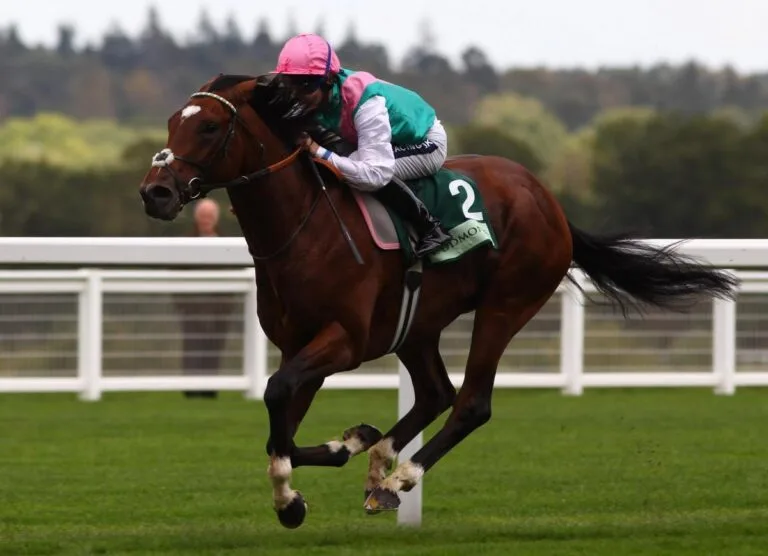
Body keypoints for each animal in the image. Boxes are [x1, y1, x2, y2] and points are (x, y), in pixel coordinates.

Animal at [138, 73, 739, 529]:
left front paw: (311, 481)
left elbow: (277, 396)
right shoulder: (298, 345)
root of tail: (549, 201)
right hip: (417, 324)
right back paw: (380, 458)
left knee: (470, 402)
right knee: (435, 393)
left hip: (506, 304)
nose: (155, 192)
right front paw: (333, 458)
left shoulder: (345, 340)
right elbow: (278, 425)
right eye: (171, 121)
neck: (304, 228)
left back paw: (398, 478)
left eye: (209, 126)